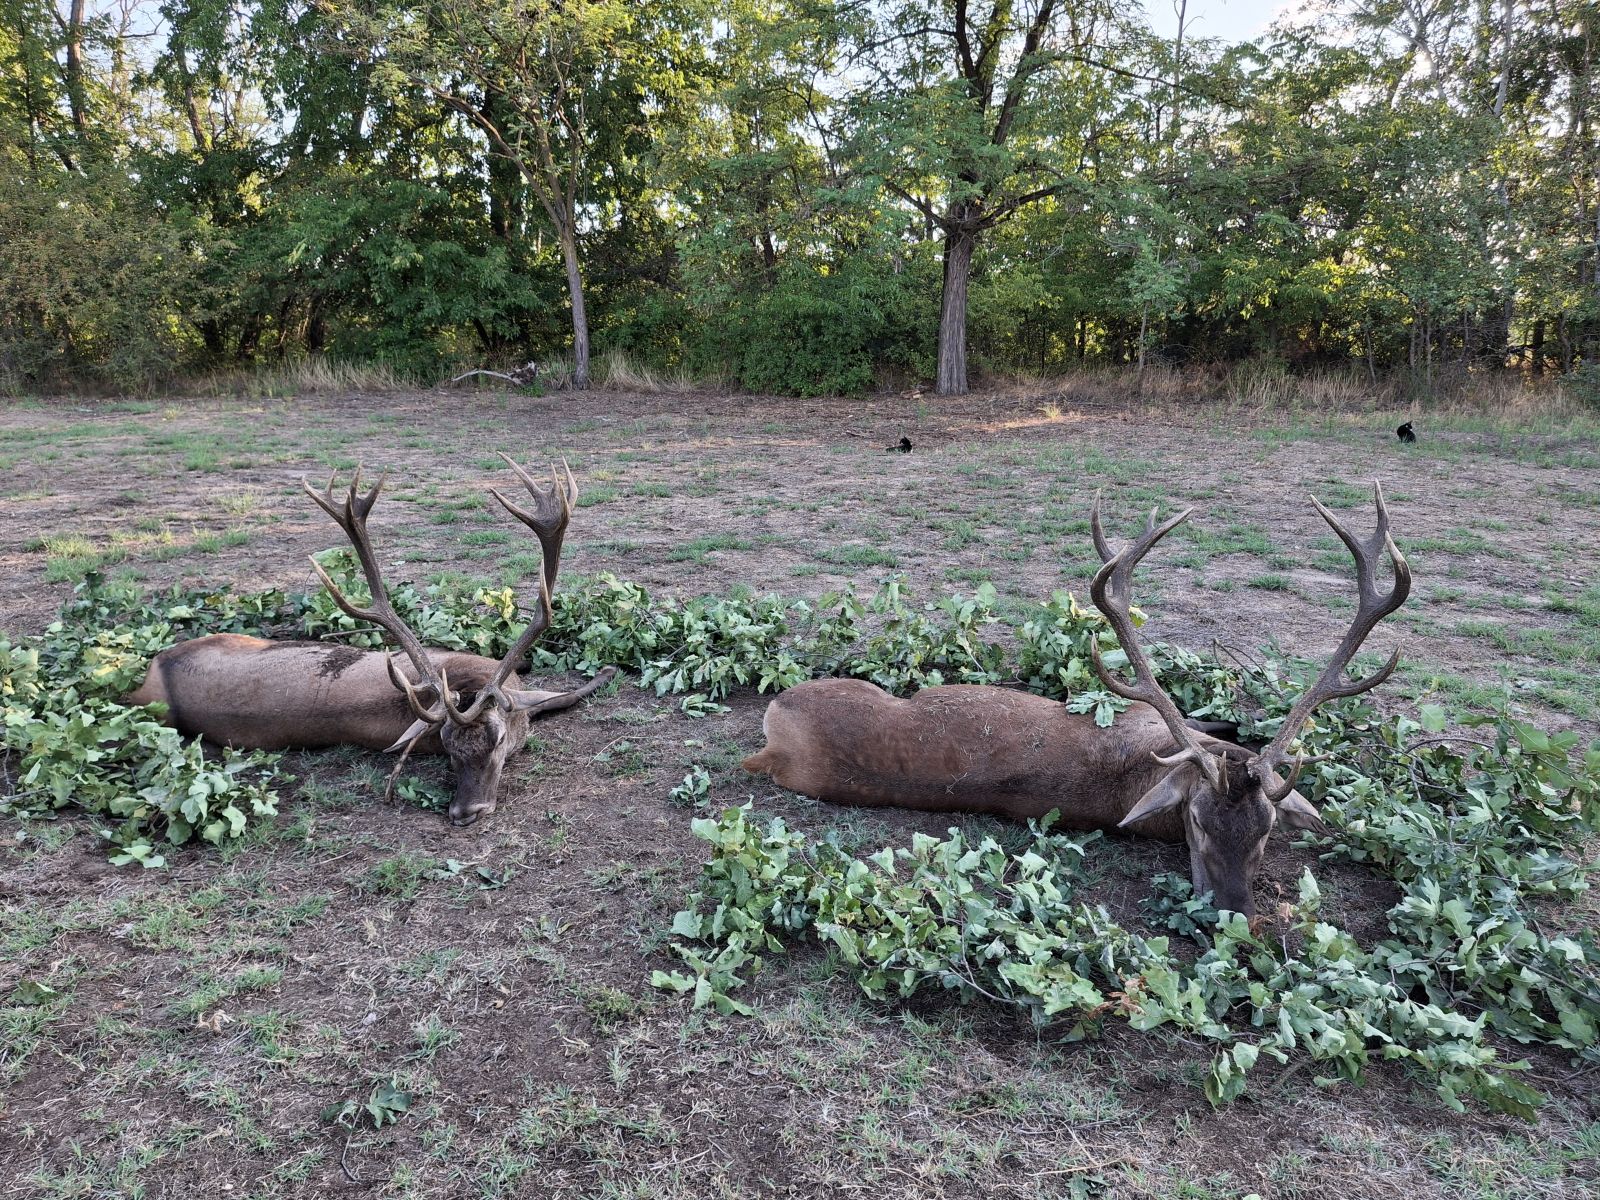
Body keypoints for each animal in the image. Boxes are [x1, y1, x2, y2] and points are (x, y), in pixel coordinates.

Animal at [126, 457, 616, 827]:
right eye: (448, 749)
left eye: (495, 742)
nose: (465, 812)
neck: (472, 680)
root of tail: (153, 670)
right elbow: (561, 695)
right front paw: (604, 672)